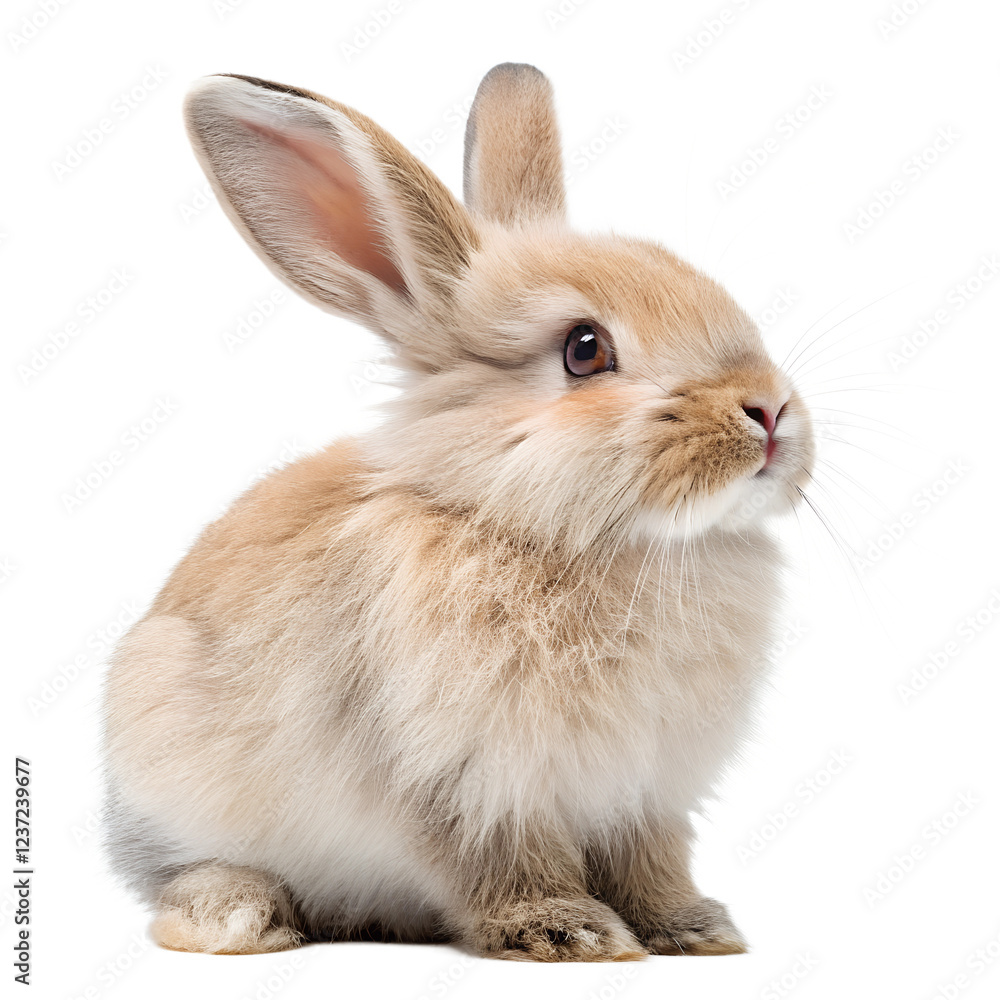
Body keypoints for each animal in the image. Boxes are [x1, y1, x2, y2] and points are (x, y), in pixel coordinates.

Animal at [100, 63, 815, 962]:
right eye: (585, 350)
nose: (769, 411)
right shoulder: (468, 783)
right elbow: (502, 863)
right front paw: (568, 933)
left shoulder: (646, 795)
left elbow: (652, 864)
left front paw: (694, 929)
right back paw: (239, 915)